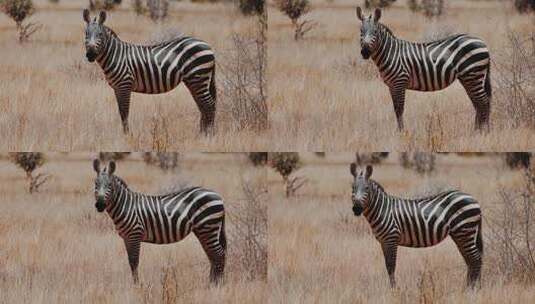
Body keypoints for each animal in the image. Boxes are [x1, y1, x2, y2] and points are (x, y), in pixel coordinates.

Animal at [82, 10, 217, 135]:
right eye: (86, 34)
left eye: (100, 34)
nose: (90, 55)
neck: (116, 56)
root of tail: (207, 45)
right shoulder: (117, 88)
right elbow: (121, 111)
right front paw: (125, 134)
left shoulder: (125, 85)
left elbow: (125, 112)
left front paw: (127, 135)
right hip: (193, 81)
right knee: (202, 105)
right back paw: (201, 133)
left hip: (199, 78)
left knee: (209, 105)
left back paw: (208, 135)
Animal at [92, 158, 226, 284]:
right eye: (95, 184)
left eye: (109, 185)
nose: (100, 205)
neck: (126, 205)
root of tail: (217, 195)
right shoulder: (126, 237)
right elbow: (130, 261)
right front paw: (135, 284)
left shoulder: (135, 234)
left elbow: (134, 262)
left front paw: (136, 285)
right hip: (203, 230)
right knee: (212, 255)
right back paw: (211, 282)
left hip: (208, 227)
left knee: (219, 254)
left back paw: (217, 284)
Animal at [350, 164, 484, 288]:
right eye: (353, 188)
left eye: (366, 188)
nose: (356, 209)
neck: (382, 210)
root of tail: (474, 199)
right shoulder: (383, 242)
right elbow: (388, 265)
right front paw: (392, 288)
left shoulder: (391, 238)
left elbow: (391, 266)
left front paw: (394, 289)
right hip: (460, 234)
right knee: (470, 259)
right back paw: (469, 286)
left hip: (465, 230)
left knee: (476, 258)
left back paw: (472, 288)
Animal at [358, 6, 492, 131]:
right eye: (361, 31)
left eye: (375, 31)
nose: (365, 52)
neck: (391, 53)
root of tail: (482, 42)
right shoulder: (392, 85)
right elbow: (396, 109)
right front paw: (399, 131)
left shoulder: (400, 81)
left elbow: (400, 109)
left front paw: (401, 132)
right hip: (468, 78)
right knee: (477, 103)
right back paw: (476, 130)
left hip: (473, 74)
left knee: (484, 101)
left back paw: (483, 132)